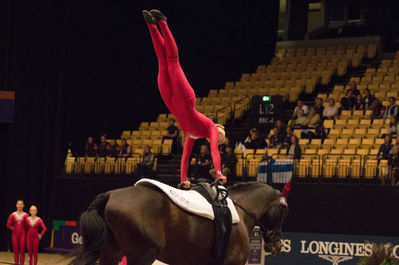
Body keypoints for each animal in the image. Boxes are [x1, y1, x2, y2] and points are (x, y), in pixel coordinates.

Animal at [70, 182, 290, 264]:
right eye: (283, 212)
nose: (278, 245)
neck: (240, 211)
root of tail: (108, 195)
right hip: (141, 256)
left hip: (112, 253)